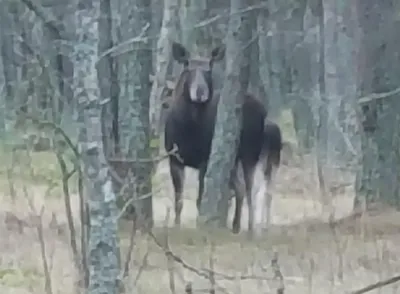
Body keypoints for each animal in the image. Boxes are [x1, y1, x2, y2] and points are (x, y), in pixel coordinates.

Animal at [162, 42, 282, 234]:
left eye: (209, 68)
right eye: (187, 65)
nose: (200, 91)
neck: (189, 131)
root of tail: (263, 109)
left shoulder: (205, 159)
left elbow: (200, 200)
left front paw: (200, 225)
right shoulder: (174, 158)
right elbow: (178, 201)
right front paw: (176, 226)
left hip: (251, 153)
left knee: (251, 190)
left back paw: (250, 228)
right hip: (235, 159)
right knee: (241, 188)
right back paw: (236, 225)